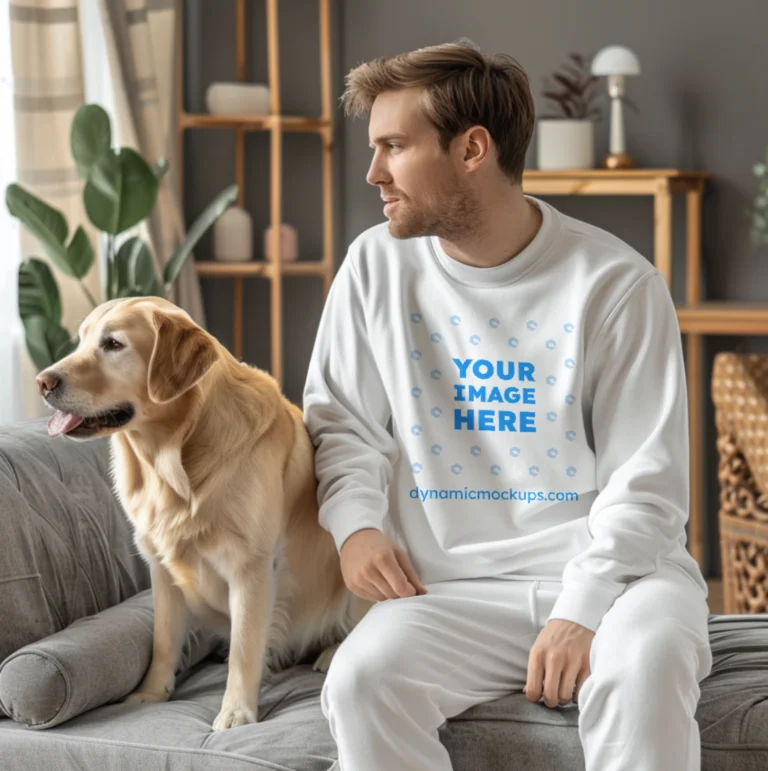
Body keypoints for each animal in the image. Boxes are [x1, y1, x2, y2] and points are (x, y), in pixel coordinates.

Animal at [36, 296, 368, 728]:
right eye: (81, 340)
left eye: (113, 344)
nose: (43, 382)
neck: (173, 458)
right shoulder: (161, 568)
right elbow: (163, 640)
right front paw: (151, 693)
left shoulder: (251, 566)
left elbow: (245, 645)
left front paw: (236, 711)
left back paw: (332, 652)